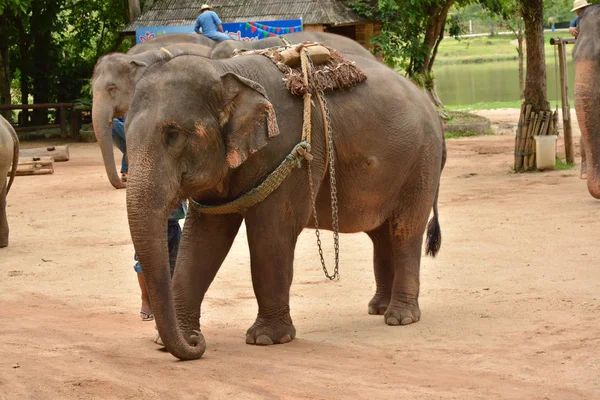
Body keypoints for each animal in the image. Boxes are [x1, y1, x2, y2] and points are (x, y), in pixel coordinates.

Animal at [123, 47, 446, 360]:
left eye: (173, 135)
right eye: (123, 133)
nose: (196, 344)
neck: (227, 70)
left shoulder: (291, 153)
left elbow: (271, 235)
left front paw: (266, 339)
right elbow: (203, 239)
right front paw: (169, 342)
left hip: (421, 164)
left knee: (405, 231)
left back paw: (400, 317)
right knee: (381, 234)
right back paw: (377, 308)